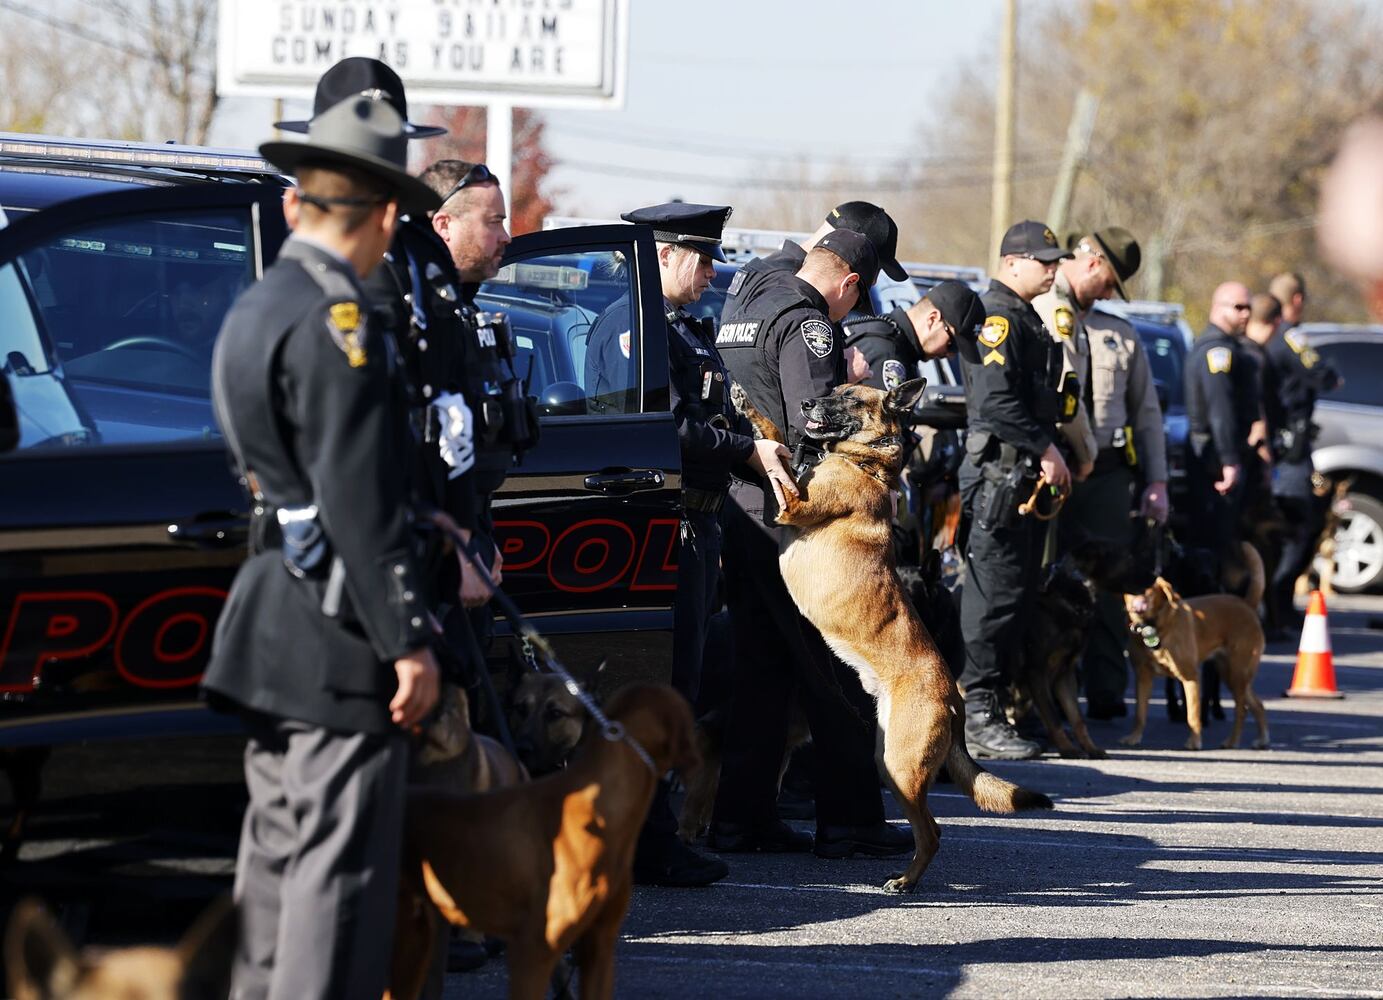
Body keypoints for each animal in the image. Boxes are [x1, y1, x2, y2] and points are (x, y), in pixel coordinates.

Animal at [735, 378, 1045, 896]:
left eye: (851, 398)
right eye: (833, 389)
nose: (808, 402)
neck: (864, 463)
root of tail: (955, 698)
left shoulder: (792, 507)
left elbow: (784, 465)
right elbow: (780, 441)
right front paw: (752, 413)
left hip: (901, 767)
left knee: (933, 833)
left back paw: (904, 881)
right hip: (887, 760)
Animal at [1117, 578, 1266, 752]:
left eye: (1150, 587)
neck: (1154, 626)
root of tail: (1246, 604)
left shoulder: (1190, 677)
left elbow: (1192, 715)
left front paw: (1194, 742)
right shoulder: (1142, 677)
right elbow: (1139, 714)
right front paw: (1134, 737)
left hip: (1237, 673)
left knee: (1241, 711)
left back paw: (1232, 741)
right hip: (1230, 675)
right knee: (1258, 705)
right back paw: (1262, 739)